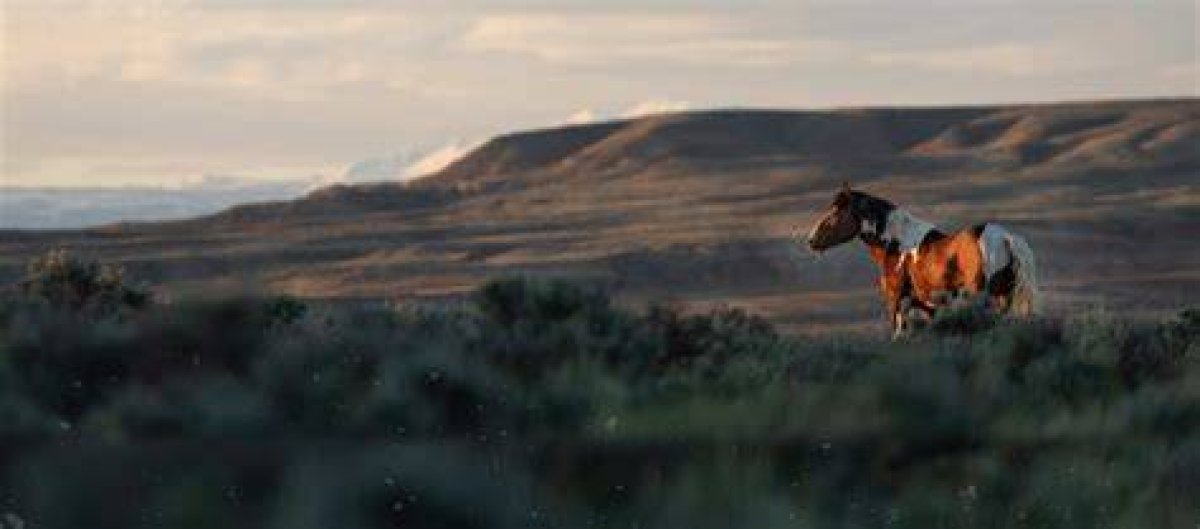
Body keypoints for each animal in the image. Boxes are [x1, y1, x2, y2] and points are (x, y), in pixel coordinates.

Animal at [800, 183, 1039, 336]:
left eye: (836, 213)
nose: (812, 240)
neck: (897, 244)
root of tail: (1005, 237)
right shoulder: (928, 307)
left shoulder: (898, 302)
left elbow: (898, 334)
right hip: (1004, 298)